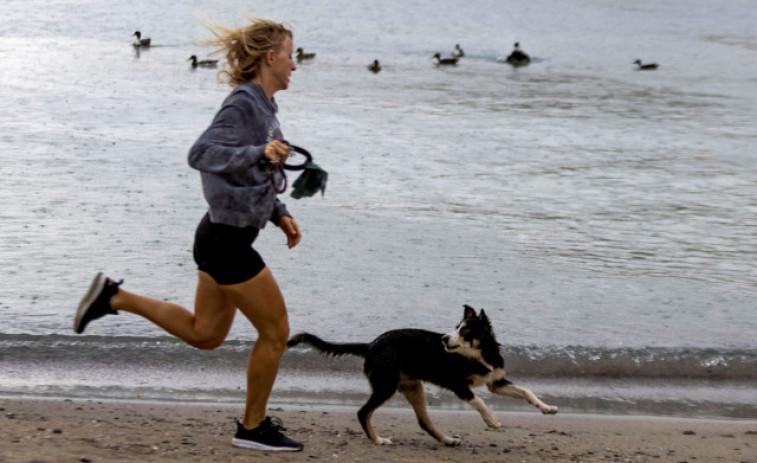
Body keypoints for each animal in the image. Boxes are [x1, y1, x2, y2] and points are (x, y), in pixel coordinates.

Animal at [286, 304, 560, 446]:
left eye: (465, 330)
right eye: (455, 328)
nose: (444, 338)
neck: (477, 355)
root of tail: (370, 345)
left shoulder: (496, 381)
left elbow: (526, 391)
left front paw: (547, 408)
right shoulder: (458, 385)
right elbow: (480, 401)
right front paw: (491, 419)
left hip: (412, 386)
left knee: (423, 421)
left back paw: (447, 440)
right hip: (386, 385)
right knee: (363, 413)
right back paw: (377, 440)